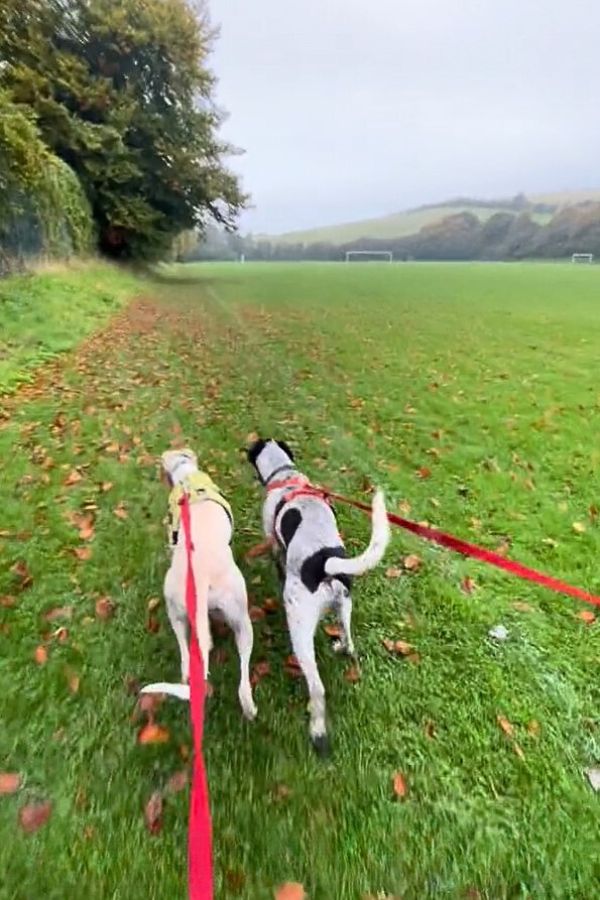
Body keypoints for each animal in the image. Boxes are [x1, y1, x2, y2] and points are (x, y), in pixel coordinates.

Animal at [142, 450, 256, 724]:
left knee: (185, 648)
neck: (186, 476)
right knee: (241, 670)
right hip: (240, 618)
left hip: (176, 608)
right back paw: (248, 706)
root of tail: (202, 577)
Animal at [247, 436, 392, 752]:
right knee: (349, 642)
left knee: (317, 689)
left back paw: (317, 731)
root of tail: (326, 562)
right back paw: (341, 648)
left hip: (300, 627)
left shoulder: (272, 540)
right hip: (345, 606)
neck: (286, 477)